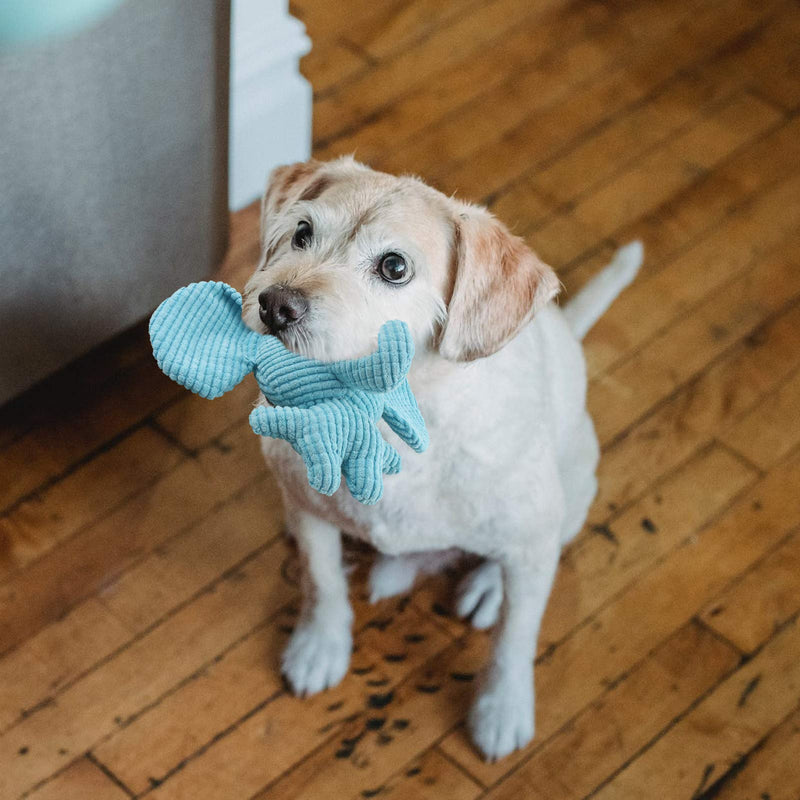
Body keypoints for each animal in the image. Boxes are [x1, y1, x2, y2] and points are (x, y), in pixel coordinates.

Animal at [241, 156, 640, 764]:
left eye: (394, 267)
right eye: (302, 232)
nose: (274, 305)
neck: (390, 426)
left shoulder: (530, 541)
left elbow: (516, 638)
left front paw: (502, 709)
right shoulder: (309, 511)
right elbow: (322, 579)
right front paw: (319, 646)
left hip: (566, 499)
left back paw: (487, 588)